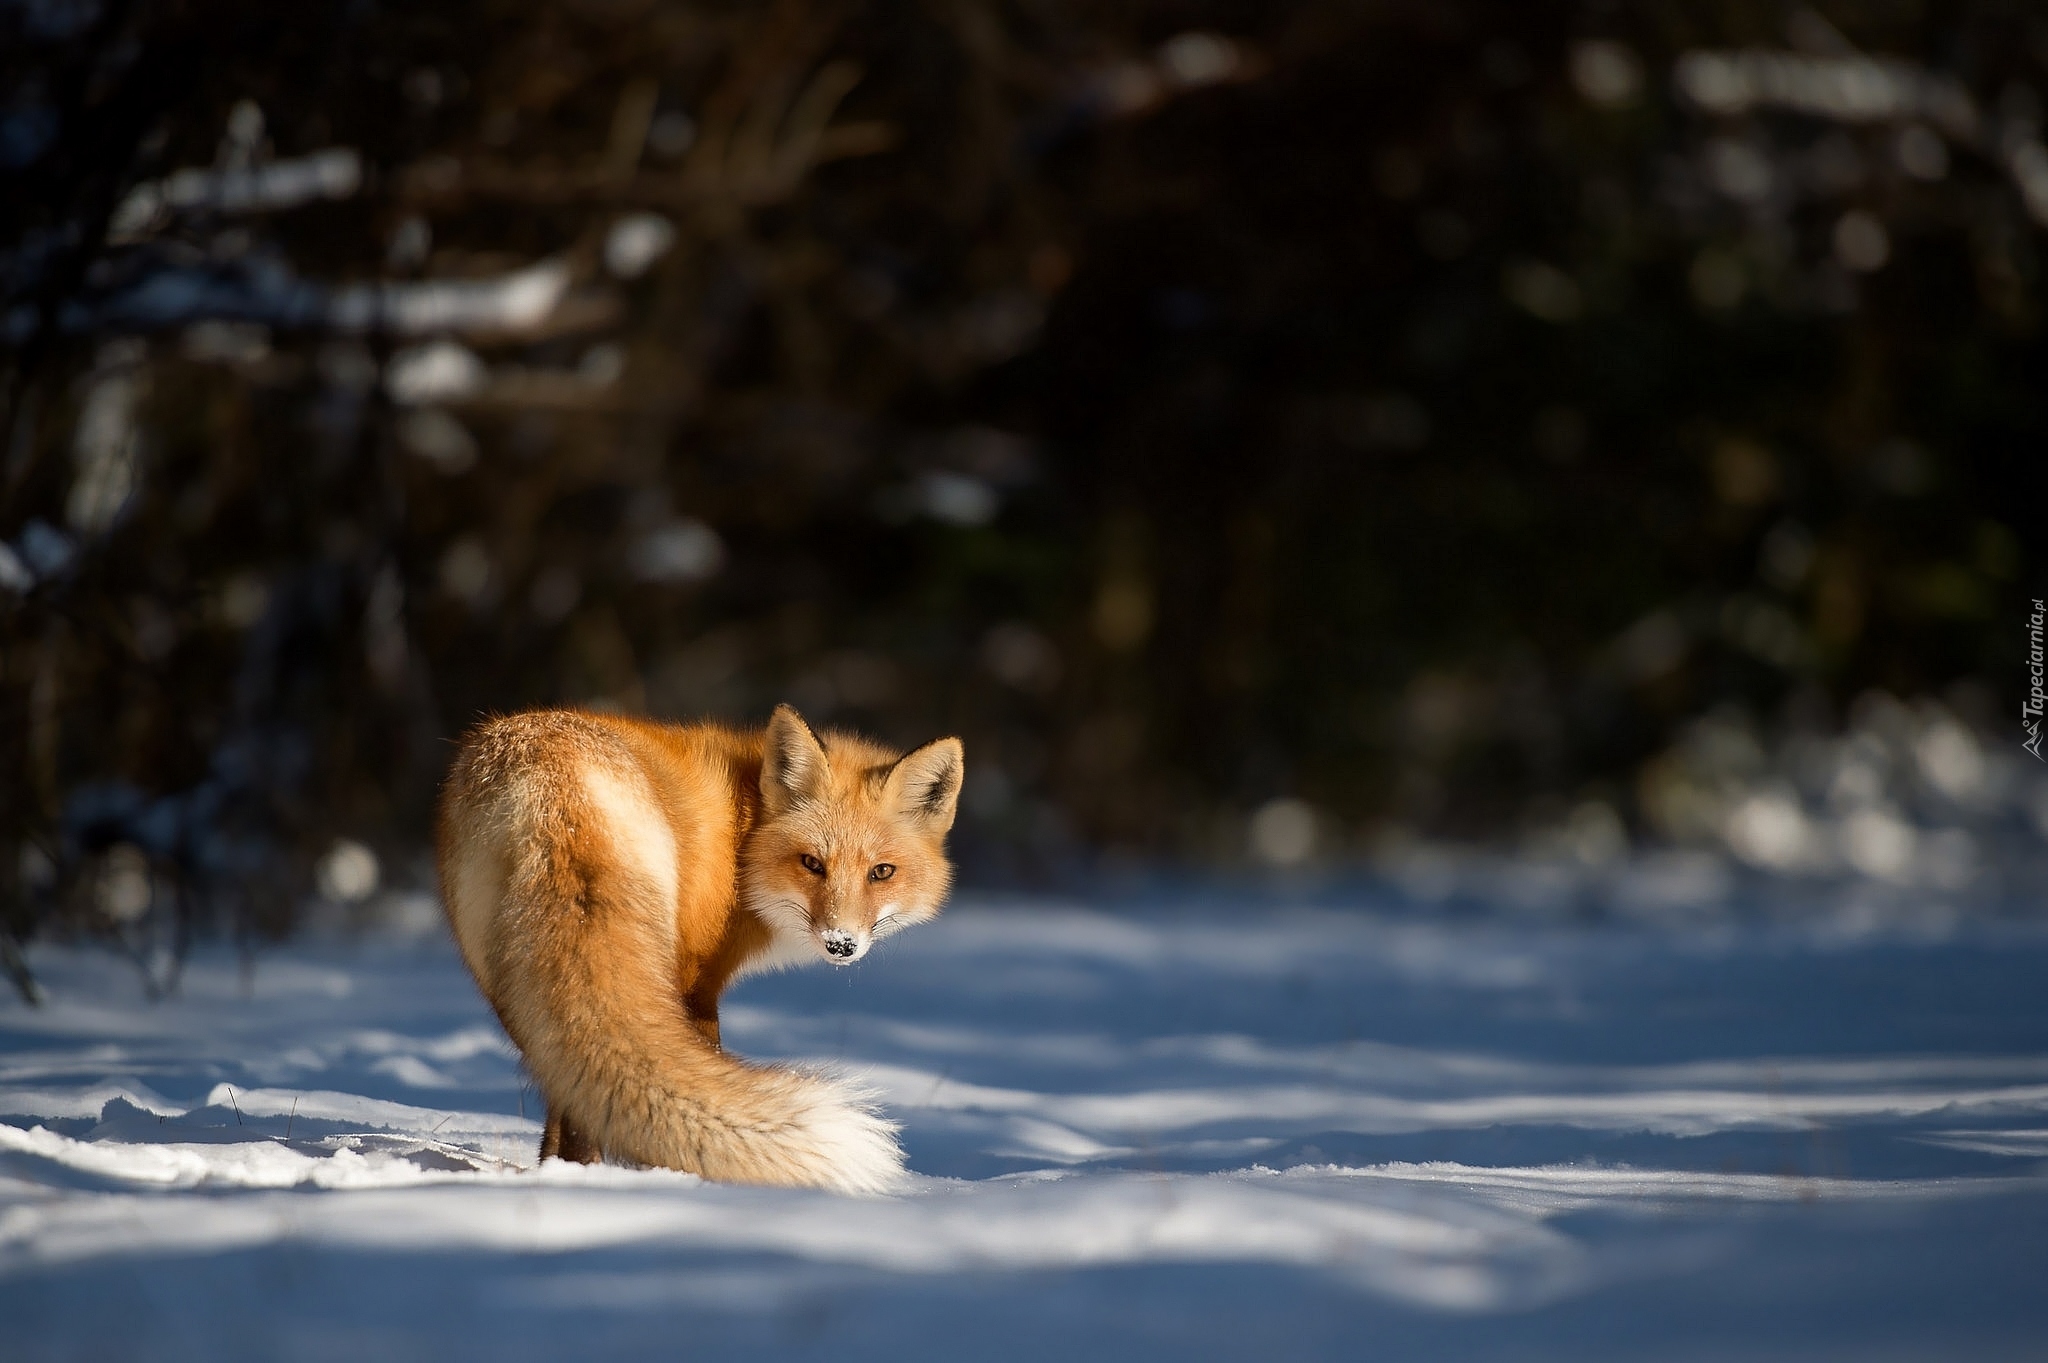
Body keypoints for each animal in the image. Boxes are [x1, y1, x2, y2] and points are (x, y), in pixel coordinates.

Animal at [436, 699, 962, 1186]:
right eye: (812, 863)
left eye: (882, 872)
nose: (841, 944)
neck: (743, 834)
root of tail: (553, 787)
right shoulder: (700, 980)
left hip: (510, 981)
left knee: (561, 1080)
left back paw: (562, 1176)